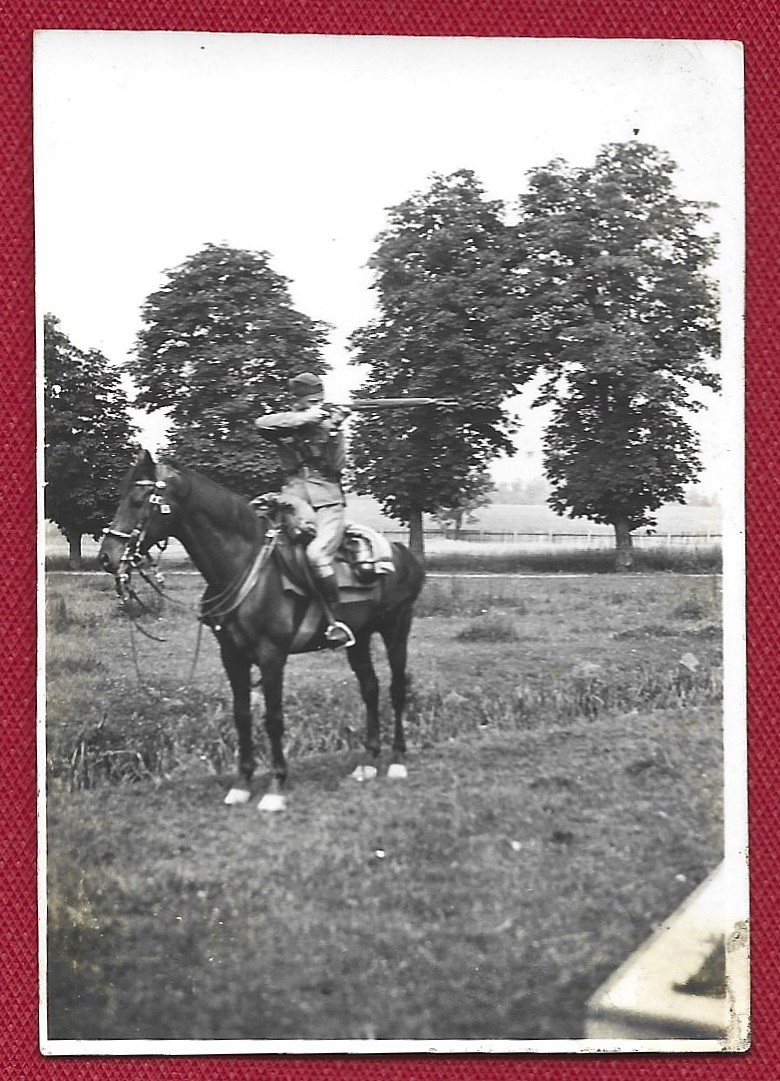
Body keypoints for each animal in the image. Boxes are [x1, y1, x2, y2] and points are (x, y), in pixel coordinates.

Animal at [99, 447, 425, 812]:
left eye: (138, 499)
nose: (107, 557)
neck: (242, 567)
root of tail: (401, 553)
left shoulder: (272, 656)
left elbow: (272, 718)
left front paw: (275, 786)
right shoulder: (232, 656)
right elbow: (242, 715)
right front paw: (242, 784)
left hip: (397, 629)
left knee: (396, 689)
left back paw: (397, 761)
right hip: (360, 639)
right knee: (370, 688)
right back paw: (368, 762)